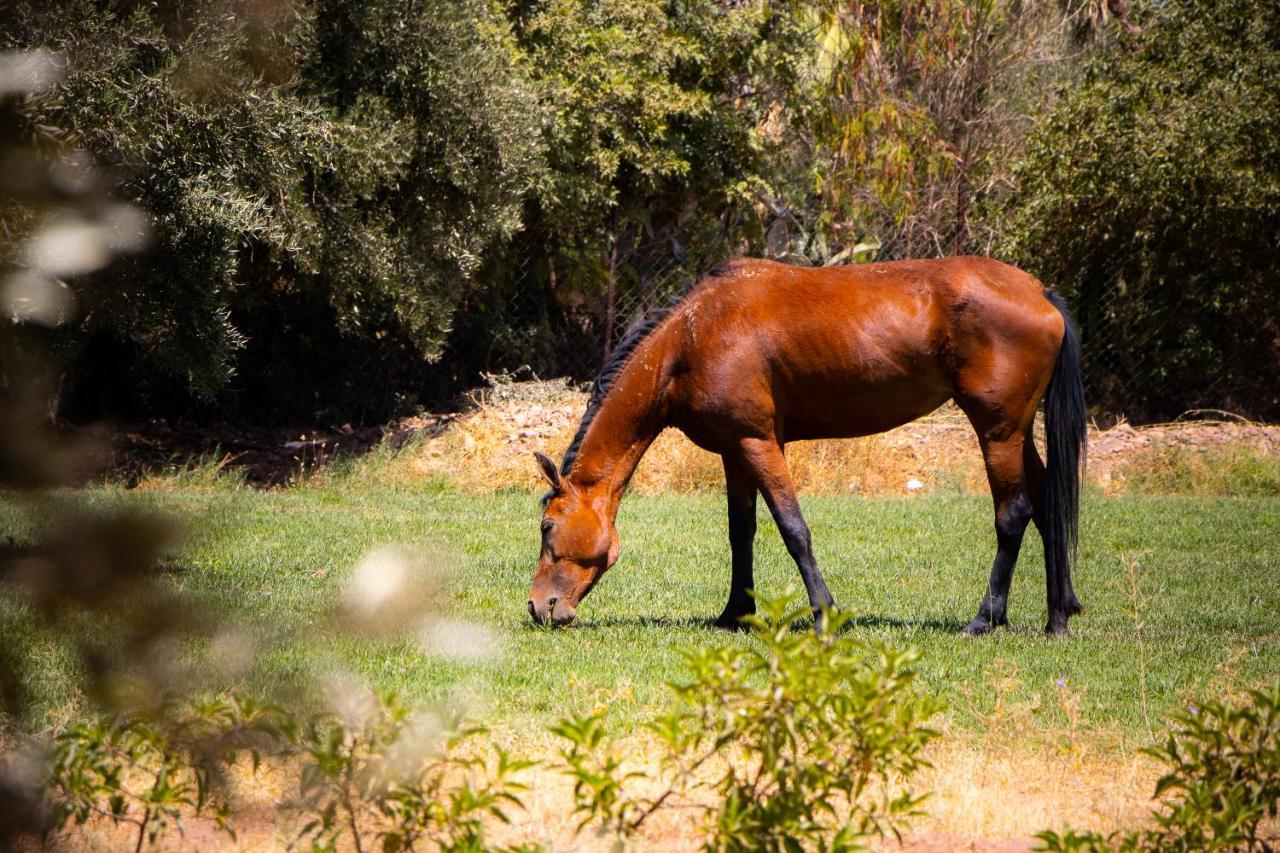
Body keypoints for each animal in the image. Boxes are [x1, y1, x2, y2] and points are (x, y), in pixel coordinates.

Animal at [524, 256, 1085, 635]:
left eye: (547, 526)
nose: (537, 607)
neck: (692, 338)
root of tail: (1041, 293)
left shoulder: (759, 443)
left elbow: (793, 529)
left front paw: (824, 614)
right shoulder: (734, 452)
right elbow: (742, 532)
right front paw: (735, 612)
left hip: (997, 431)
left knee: (1013, 514)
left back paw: (985, 619)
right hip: (1015, 433)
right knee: (1047, 507)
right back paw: (1058, 615)